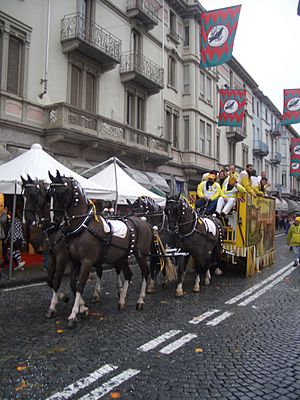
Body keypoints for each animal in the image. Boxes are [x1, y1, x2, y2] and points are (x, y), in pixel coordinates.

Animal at [49, 170, 154, 326]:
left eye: (62, 192)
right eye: (51, 193)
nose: (55, 221)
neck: (82, 225)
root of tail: (142, 221)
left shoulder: (87, 261)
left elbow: (80, 286)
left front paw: (73, 315)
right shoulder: (74, 261)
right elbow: (72, 284)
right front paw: (82, 308)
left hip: (141, 254)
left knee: (145, 273)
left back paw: (140, 300)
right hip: (121, 257)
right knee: (128, 274)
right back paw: (121, 301)